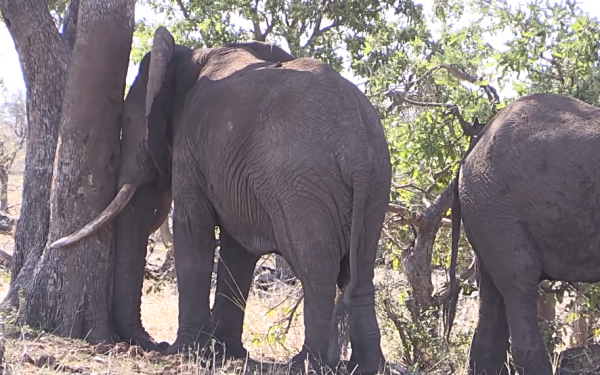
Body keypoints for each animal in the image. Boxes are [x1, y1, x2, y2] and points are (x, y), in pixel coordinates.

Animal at [50, 27, 390, 375]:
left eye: (130, 122)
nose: (156, 344)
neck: (193, 55)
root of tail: (357, 146)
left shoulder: (191, 143)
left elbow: (192, 230)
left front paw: (186, 351)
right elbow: (237, 249)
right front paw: (227, 353)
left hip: (303, 184)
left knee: (316, 270)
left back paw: (306, 364)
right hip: (376, 182)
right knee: (361, 271)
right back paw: (367, 366)